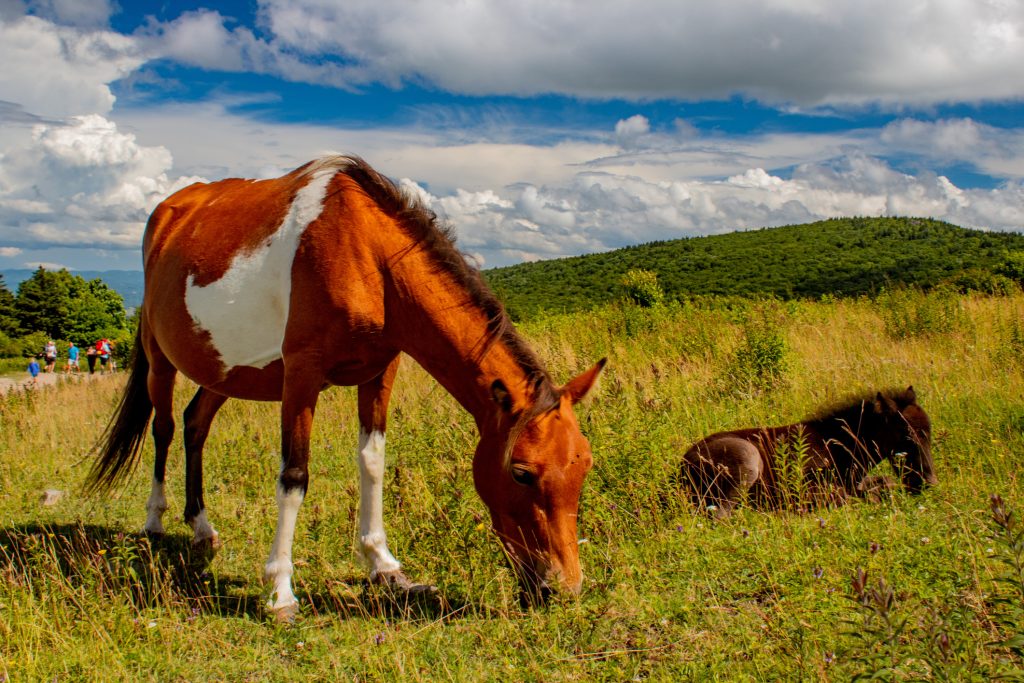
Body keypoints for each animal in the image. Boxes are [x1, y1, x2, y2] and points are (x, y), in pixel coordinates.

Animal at [88, 154, 602, 618]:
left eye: (584, 467)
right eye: (521, 473)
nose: (564, 588)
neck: (367, 255)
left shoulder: (379, 371)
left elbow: (372, 462)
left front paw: (385, 567)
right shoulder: (302, 373)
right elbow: (294, 476)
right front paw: (280, 591)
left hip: (224, 369)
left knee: (196, 425)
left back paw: (200, 526)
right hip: (160, 360)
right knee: (164, 429)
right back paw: (155, 519)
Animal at [679, 387, 937, 520]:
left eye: (929, 432)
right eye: (907, 437)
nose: (928, 483)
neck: (840, 445)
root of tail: (682, 465)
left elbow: (885, 483)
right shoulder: (812, 489)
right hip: (747, 458)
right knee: (721, 515)